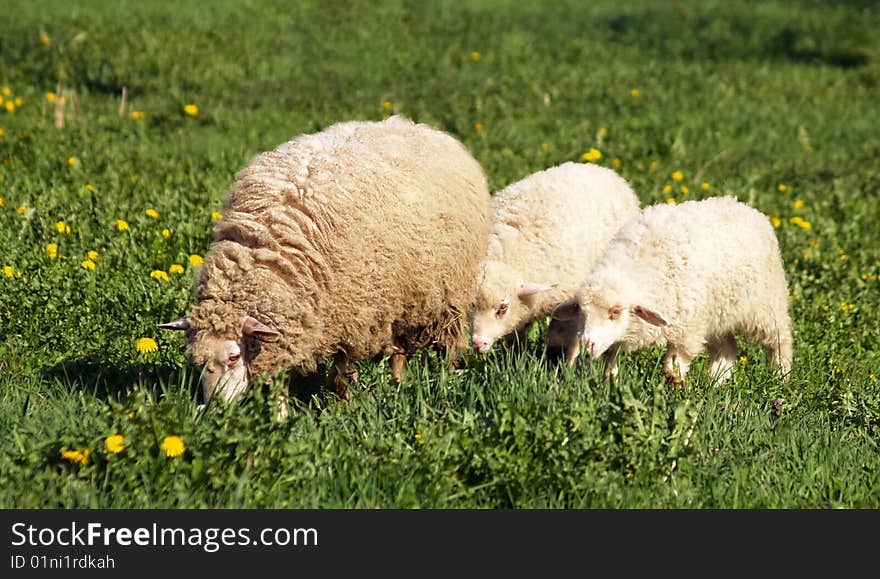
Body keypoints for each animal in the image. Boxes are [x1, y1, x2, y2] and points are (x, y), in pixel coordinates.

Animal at [157, 114, 488, 412]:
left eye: (233, 357)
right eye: (197, 363)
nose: (216, 409)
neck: (267, 250)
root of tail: (419, 127)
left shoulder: (352, 316)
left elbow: (340, 377)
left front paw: (343, 409)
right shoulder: (293, 325)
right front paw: (281, 419)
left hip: (449, 295)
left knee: (448, 345)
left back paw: (448, 379)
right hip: (406, 296)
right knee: (400, 350)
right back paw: (397, 383)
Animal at [470, 162, 644, 362]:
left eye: (502, 307)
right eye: (471, 305)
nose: (478, 344)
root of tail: (601, 169)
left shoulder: (573, 304)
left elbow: (570, 339)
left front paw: (567, 365)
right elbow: (516, 337)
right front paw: (515, 360)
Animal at [552, 196, 796, 386]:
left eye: (615, 312)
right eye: (581, 311)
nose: (587, 345)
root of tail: (744, 206)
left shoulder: (688, 330)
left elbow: (673, 368)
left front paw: (675, 388)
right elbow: (610, 362)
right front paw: (609, 384)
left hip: (766, 305)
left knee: (780, 339)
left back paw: (781, 378)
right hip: (716, 314)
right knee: (726, 347)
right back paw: (716, 382)